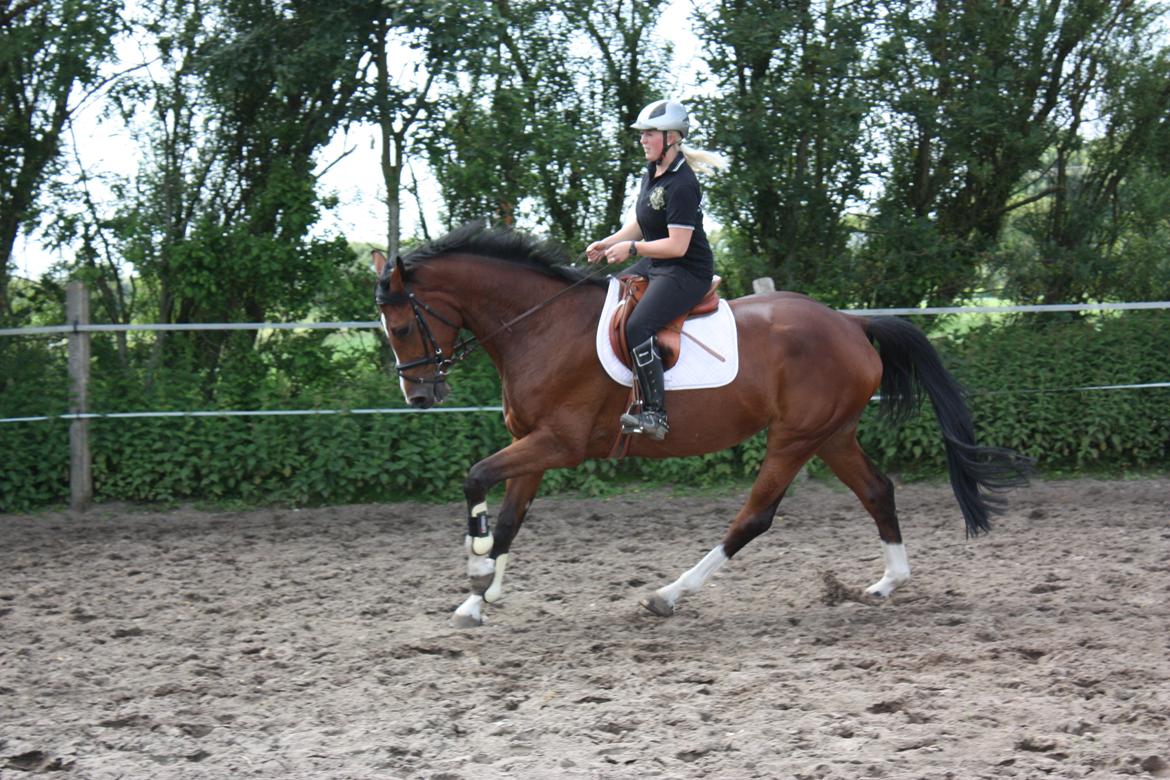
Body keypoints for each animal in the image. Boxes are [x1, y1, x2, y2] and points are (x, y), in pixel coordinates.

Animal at [369, 221, 1029, 626]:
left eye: (400, 326)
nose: (420, 395)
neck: (539, 326)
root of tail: (850, 322)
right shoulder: (529, 442)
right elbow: (509, 517)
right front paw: (477, 602)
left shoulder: (558, 443)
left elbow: (476, 480)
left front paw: (478, 569)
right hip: (833, 435)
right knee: (877, 490)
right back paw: (887, 584)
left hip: (794, 438)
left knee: (755, 517)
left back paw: (669, 594)